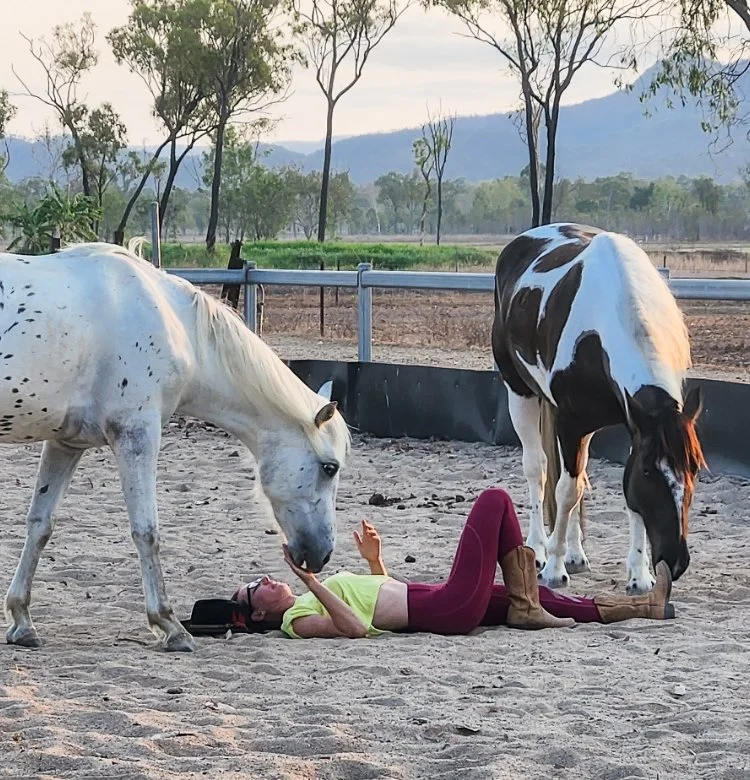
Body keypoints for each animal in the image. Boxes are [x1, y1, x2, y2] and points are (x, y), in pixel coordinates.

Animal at [0, 243, 350, 651]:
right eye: (329, 467)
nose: (322, 553)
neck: (173, 323)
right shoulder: (137, 435)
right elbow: (146, 531)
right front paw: (169, 625)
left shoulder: (65, 443)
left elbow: (40, 525)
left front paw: (22, 621)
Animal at [492, 224, 705, 595]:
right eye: (649, 472)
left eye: (693, 468)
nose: (675, 561)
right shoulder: (571, 424)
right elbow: (566, 490)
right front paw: (554, 568)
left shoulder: (634, 424)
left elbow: (617, 494)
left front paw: (639, 575)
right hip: (520, 391)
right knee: (539, 469)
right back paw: (538, 549)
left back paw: (576, 554)